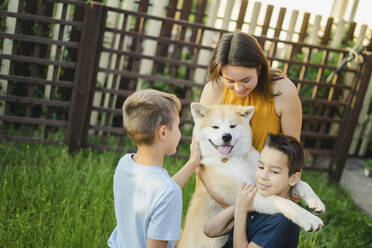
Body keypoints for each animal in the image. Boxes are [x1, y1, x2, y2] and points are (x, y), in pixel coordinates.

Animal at [177, 103, 326, 248]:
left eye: (232, 126)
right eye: (215, 126)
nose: (226, 136)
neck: (232, 158)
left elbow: (302, 184)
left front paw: (315, 201)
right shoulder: (246, 194)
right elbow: (282, 201)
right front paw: (308, 219)